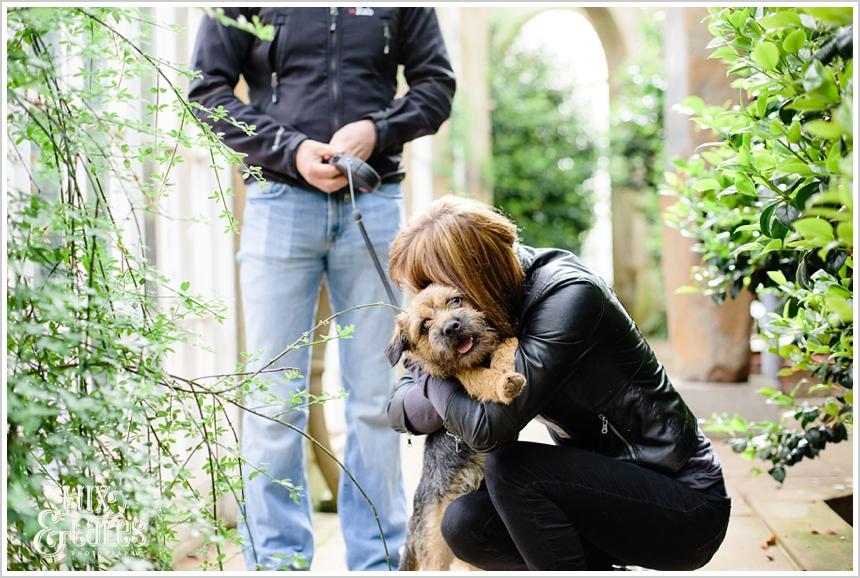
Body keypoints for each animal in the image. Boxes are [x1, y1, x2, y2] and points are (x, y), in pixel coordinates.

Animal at [388, 282, 524, 568]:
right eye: (424, 326)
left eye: (455, 301)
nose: (451, 327)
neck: (476, 359)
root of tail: (412, 524)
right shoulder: (463, 377)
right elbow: (482, 378)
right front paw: (502, 384)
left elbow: (504, 345)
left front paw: (506, 363)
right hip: (434, 555)